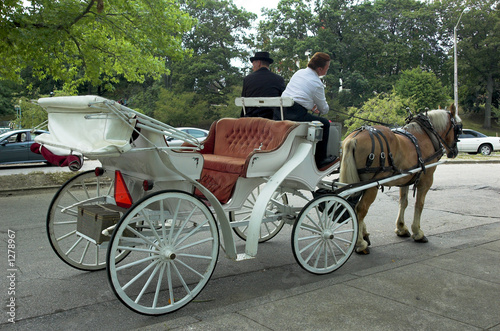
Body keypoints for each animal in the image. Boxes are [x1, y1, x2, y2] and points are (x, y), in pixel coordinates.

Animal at [340, 106, 460, 254]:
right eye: (458, 128)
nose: (454, 151)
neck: (425, 135)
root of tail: (354, 138)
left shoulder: (405, 179)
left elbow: (403, 202)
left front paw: (401, 228)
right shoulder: (426, 180)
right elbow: (419, 204)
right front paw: (418, 232)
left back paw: (364, 235)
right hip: (371, 185)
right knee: (360, 209)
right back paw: (360, 243)